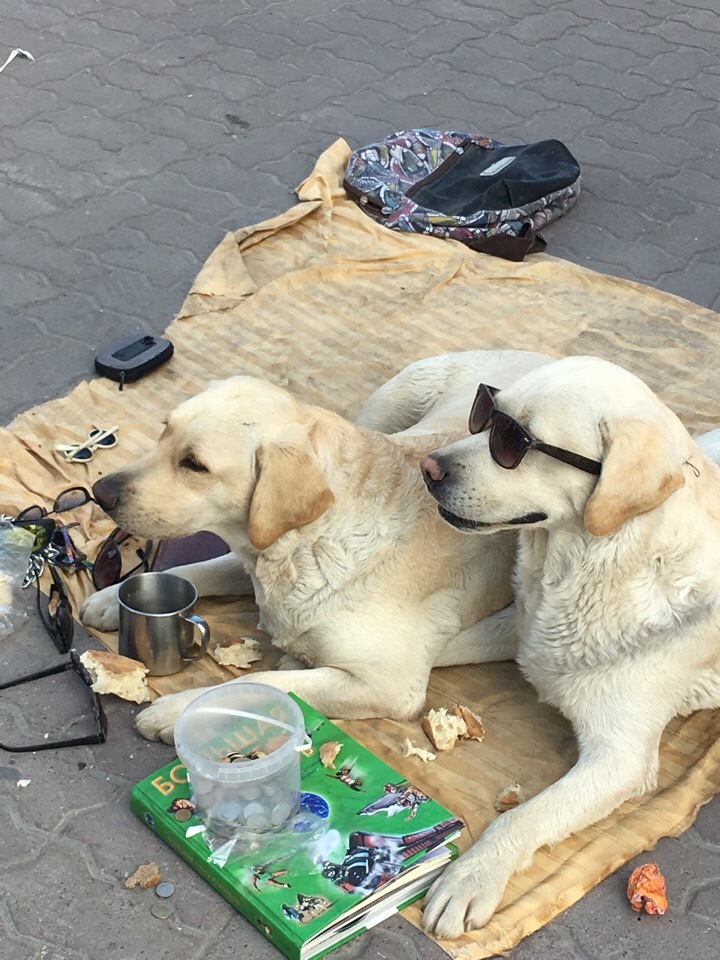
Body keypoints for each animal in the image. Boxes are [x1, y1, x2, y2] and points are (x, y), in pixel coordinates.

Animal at [80, 346, 552, 744]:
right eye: (165, 431)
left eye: (194, 464)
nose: (100, 492)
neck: (313, 541)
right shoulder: (256, 549)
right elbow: (195, 570)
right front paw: (109, 599)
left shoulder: (388, 684)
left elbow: (262, 681)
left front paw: (180, 711)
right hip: (384, 407)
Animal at [420, 352, 720, 936]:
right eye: (485, 415)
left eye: (514, 443)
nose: (428, 467)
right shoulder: (522, 633)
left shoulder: (620, 758)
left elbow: (525, 815)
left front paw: (471, 877)